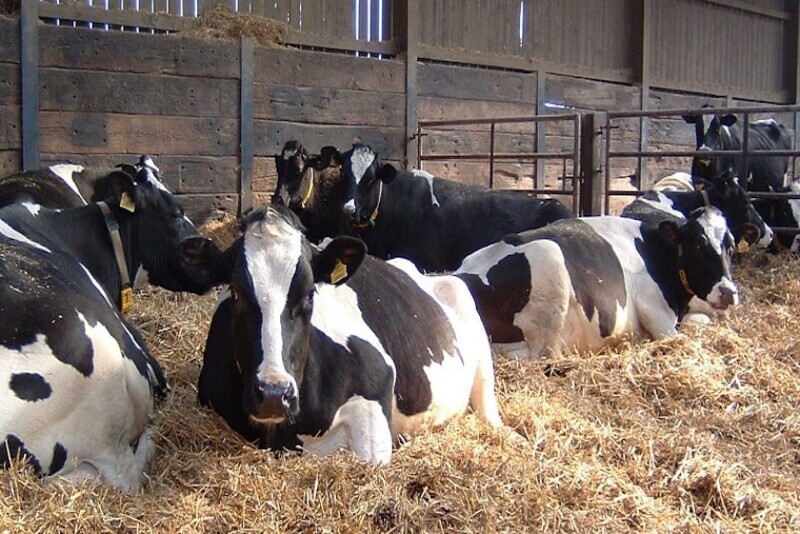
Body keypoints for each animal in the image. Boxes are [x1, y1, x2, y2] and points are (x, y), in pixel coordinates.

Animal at [179, 205, 510, 463]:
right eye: (235, 293)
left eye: (310, 294)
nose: (273, 393)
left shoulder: (376, 390)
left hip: (473, 327)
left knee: (488, 411)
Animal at [455, 207, 748, 360]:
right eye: (698, 245)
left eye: (731, 246)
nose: (728, 292)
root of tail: (463, 275)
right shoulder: (656, 312)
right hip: (549, 259)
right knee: (545, 354)